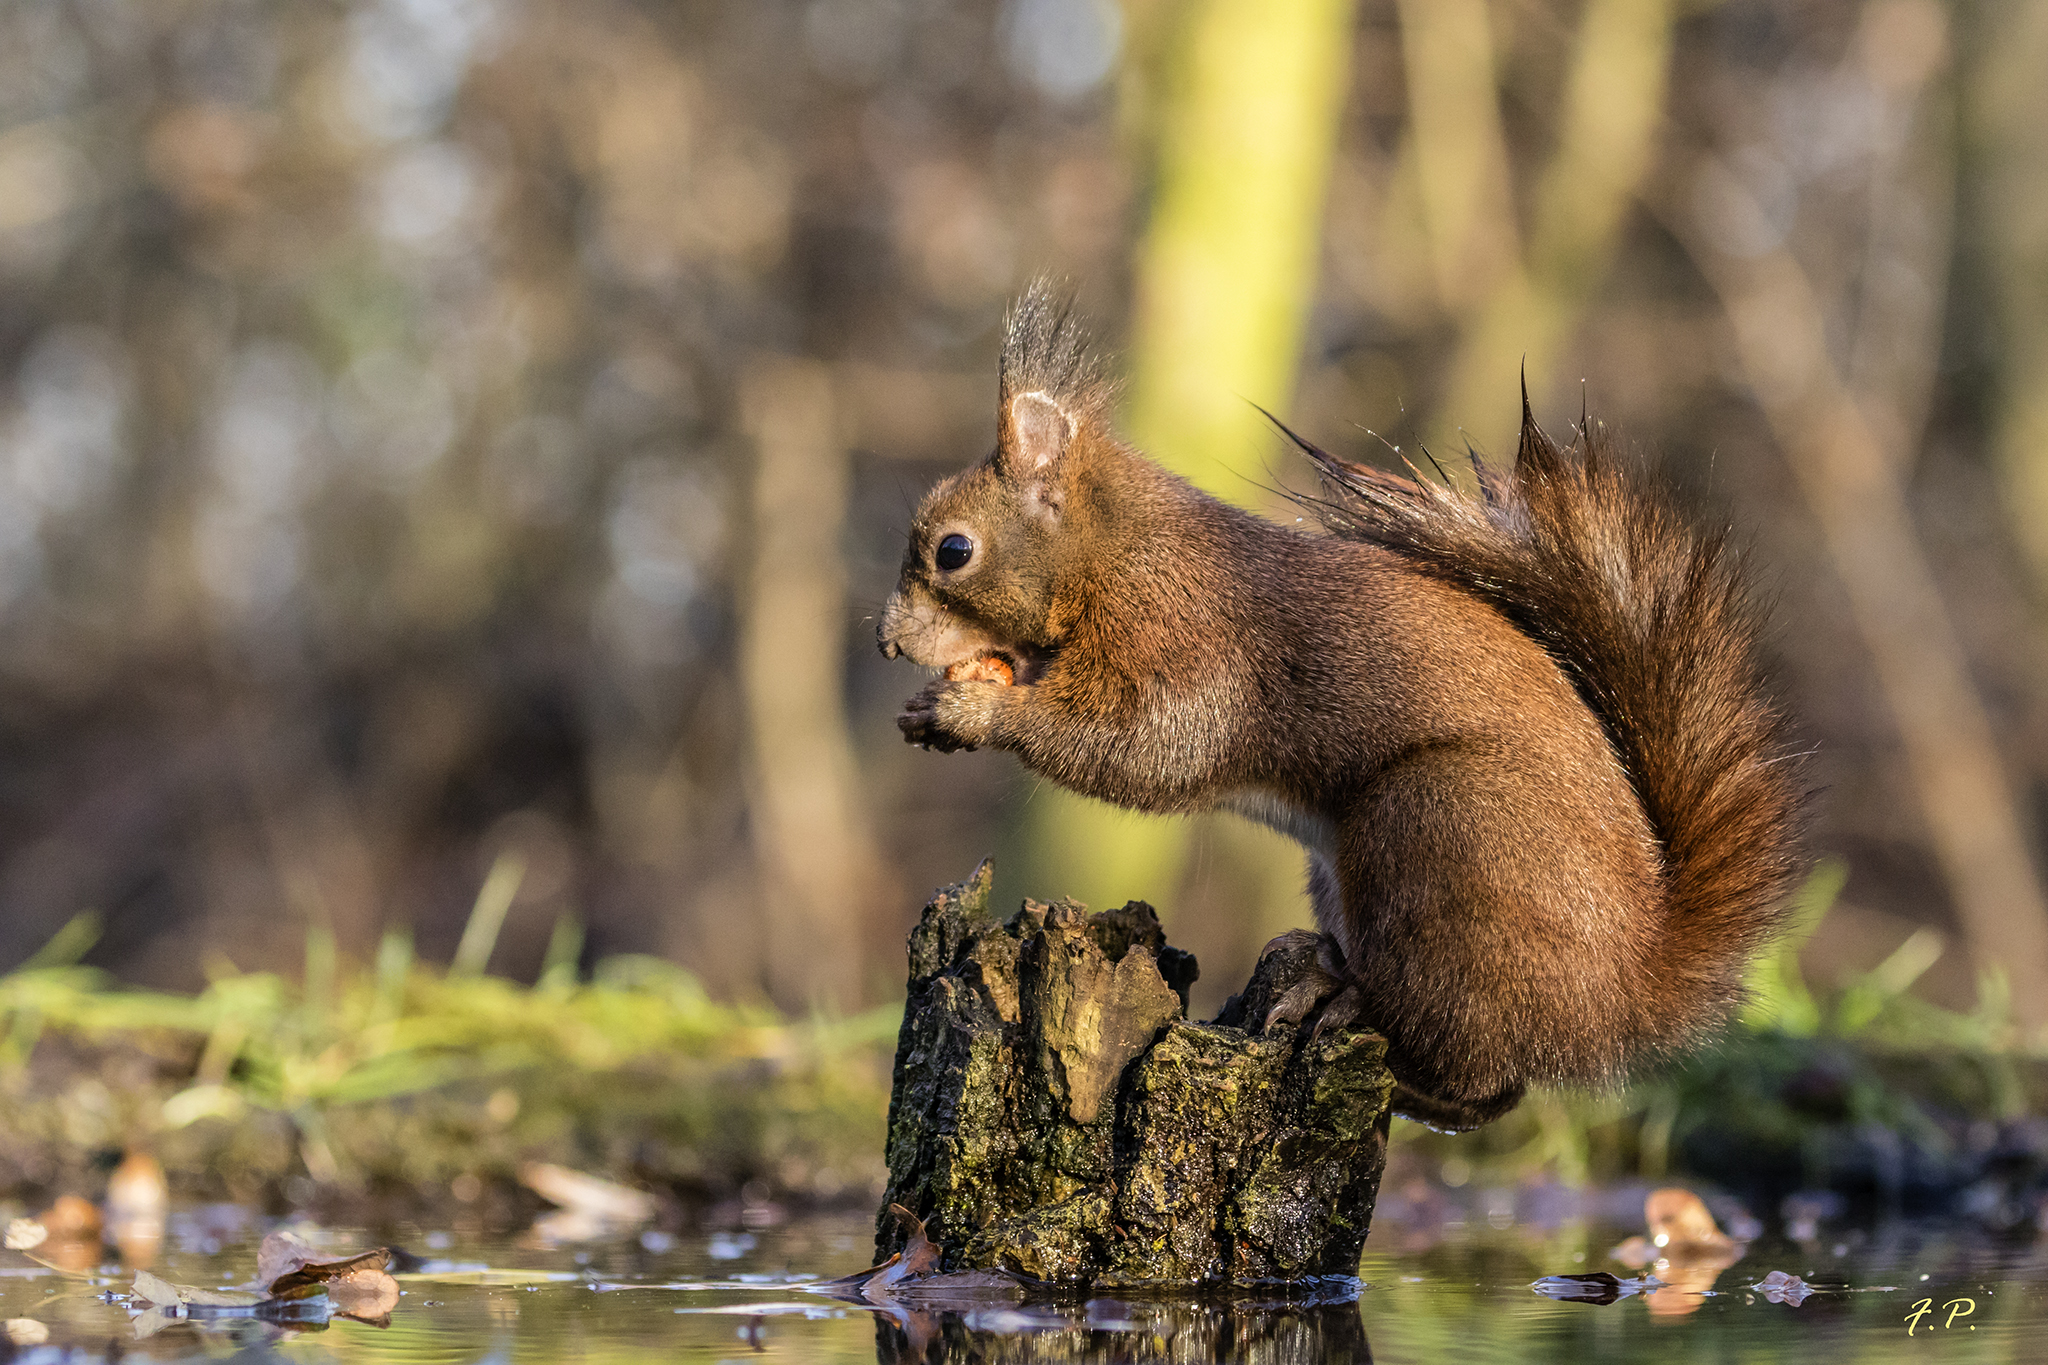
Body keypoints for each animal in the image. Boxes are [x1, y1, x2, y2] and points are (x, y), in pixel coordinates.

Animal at [877, 284, 1807, 1132]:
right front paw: (933, 706)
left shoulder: (1184, 637)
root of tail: (1628, 990)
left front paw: (974, 714)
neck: (1116, 551)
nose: (887, 642)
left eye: (954, 550)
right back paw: (1319, 967)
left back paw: (1365, 1025)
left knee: (1483, 1082)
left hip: (1440, 833)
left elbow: (1145, 746)